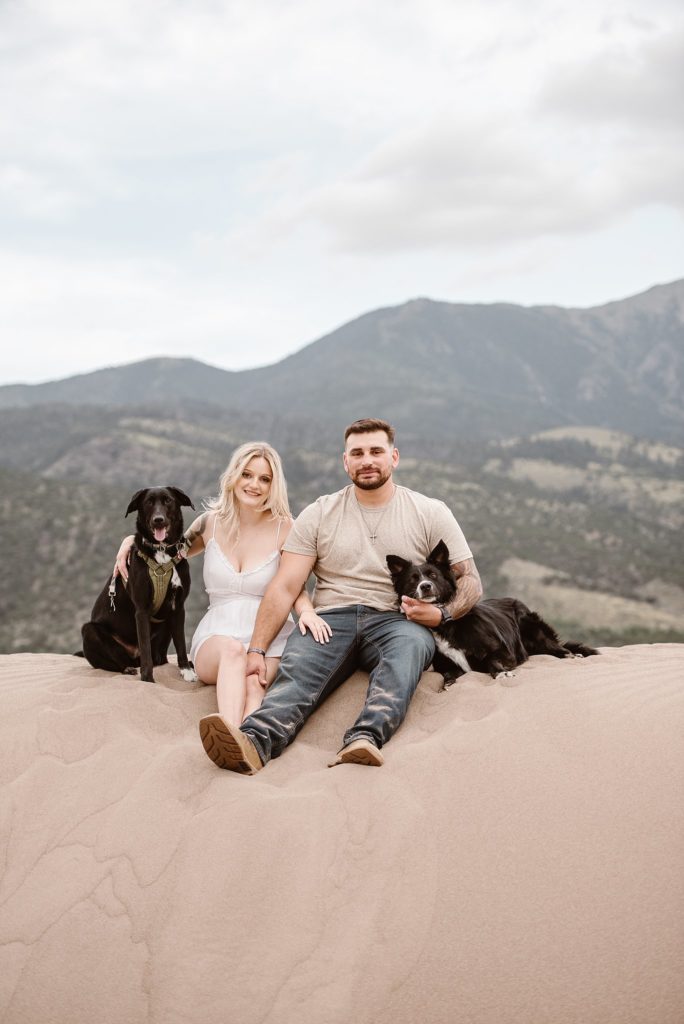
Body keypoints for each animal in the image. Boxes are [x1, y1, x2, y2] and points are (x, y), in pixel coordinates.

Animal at [81, 485, 197, 684]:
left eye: (168, 500)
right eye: (148, 502)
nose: (158, 520)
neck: (161, 552)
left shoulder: (178, 608)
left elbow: (181, 644)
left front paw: (186, 670)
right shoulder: (142, 611)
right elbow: (146, 651)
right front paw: (148, 680)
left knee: (159, 658)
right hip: (89, 631)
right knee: (113, 663)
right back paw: (127, 669)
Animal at [387, 540, 593, 692]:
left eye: (433, 575)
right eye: (413, 580)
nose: (425, 586)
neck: (445, 626)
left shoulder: (503, 651)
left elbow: (490, 660)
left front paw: (501, 674)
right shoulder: (447, 666)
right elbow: (448, 676)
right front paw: (448, 684)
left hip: (530, 626)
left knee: (558, 648)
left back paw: (570, 655)